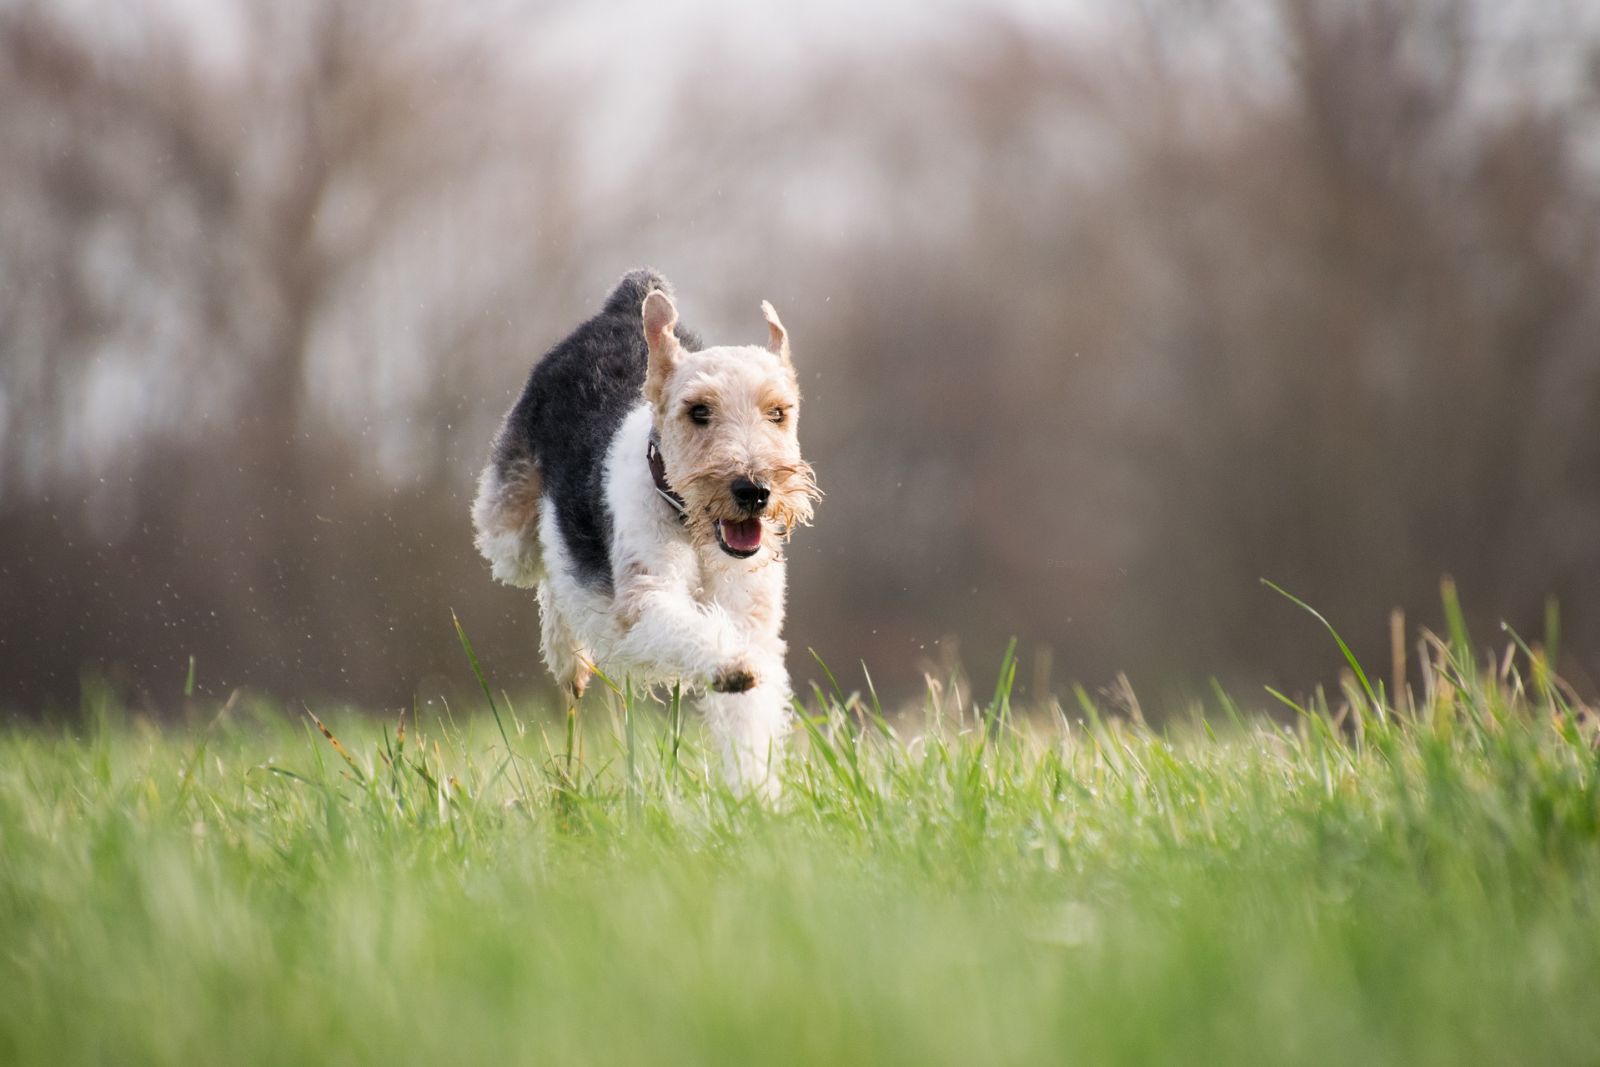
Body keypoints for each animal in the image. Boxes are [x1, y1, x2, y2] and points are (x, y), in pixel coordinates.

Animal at [467, 271, 819, 796]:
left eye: (778, 412)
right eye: (698, 411)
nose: (754, 490)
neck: (692, 529)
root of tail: (625, 300)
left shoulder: (753, 619)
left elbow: (750, 719)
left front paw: (757, 797)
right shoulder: (646, 598)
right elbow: (688, 629)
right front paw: (730, 666)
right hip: (508, 532)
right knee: (550, 568)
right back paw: (570, 662)